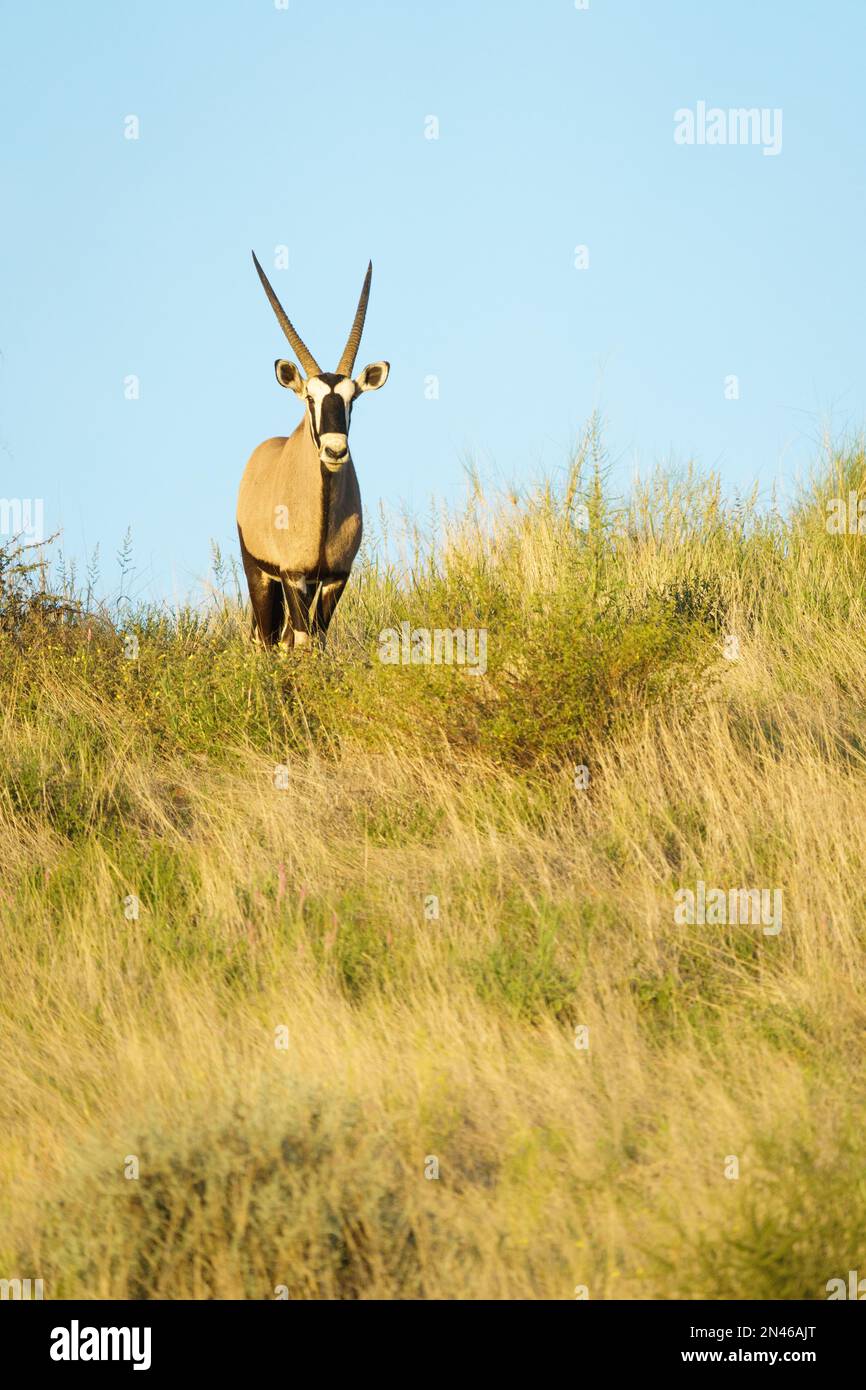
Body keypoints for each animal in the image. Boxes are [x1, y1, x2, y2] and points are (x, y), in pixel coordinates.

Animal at [237, 252, 389, 648]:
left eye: (353, 399)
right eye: (310, 398)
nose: (335, 451)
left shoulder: (335, 576)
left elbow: (316, 638)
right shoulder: (293, 575)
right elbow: (303, 640)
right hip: (260, 574)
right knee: (268, 637)